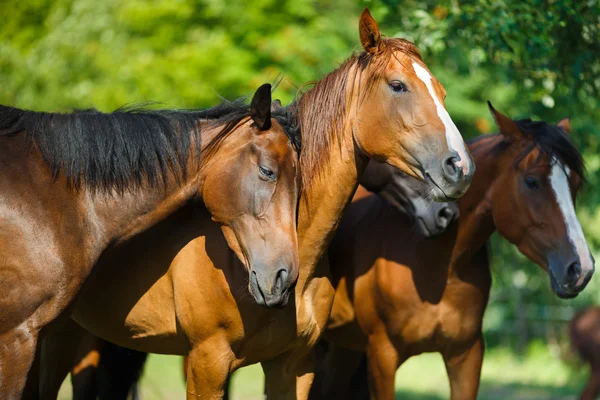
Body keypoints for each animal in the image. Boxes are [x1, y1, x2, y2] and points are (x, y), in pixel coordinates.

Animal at [312, 104, 592, 400]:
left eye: (575, 184)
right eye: (531, 181)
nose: (581, 268)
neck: (436, 267)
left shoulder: (466, 355)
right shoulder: (382, 357)